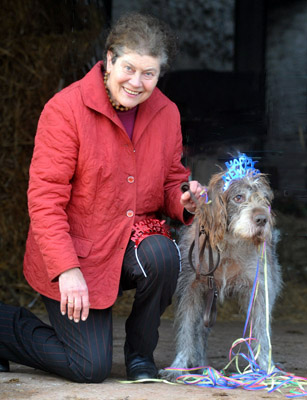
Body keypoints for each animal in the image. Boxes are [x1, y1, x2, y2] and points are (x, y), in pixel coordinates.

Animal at [160, 155, 282, 380]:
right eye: (239, 197)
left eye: (264, 198)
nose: (262, 219)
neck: (229, 245)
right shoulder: (191, 289)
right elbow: (186, 330)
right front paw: (179, 366)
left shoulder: (260, 288)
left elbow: (262, 331)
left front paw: (267, 368)